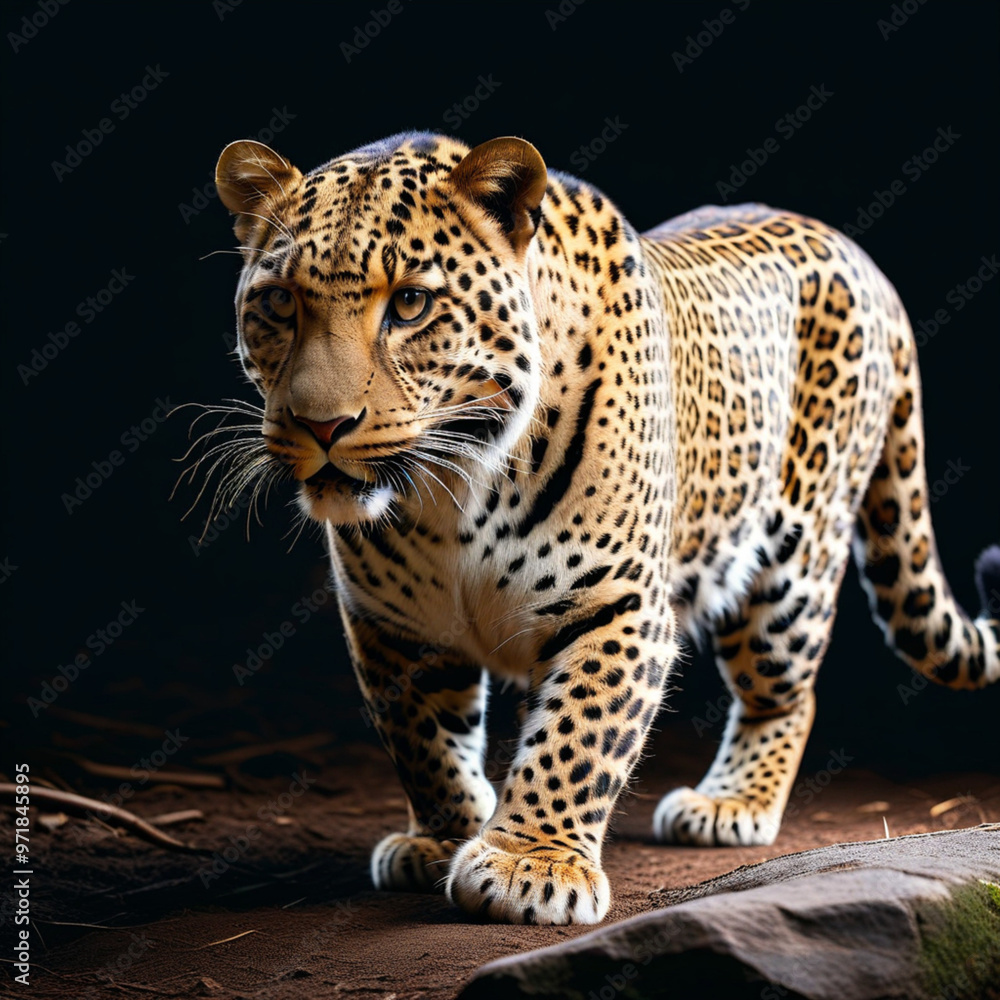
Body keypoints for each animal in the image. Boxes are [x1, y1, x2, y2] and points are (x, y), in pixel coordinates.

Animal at [209, 130, 1000, 925]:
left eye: (409, 304)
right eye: (278, 301)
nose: (321, 426)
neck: (456, 487)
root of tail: (861, 258)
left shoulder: (616, 602)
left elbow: (580, 732)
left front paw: (530, 866)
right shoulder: (391, 624)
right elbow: (423, 741)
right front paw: (443, 837)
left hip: (795, 563)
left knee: (785, 691)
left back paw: (730, 803)